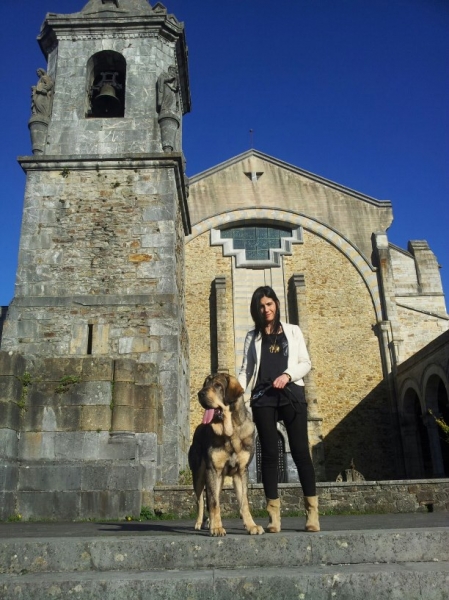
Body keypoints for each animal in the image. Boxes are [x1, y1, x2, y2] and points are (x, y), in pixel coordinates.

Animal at [187, 372, 264, 536]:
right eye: (205, 384)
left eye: (218, 385)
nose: (200, 393)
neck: (230, 431)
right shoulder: (212, 470)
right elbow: (213, 502)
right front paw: (216, 528)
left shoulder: (241, 472)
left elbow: (244, 502)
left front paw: (251, 526)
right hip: (199, 475)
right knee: (201, 501)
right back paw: (200, 523)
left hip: (220, 479)